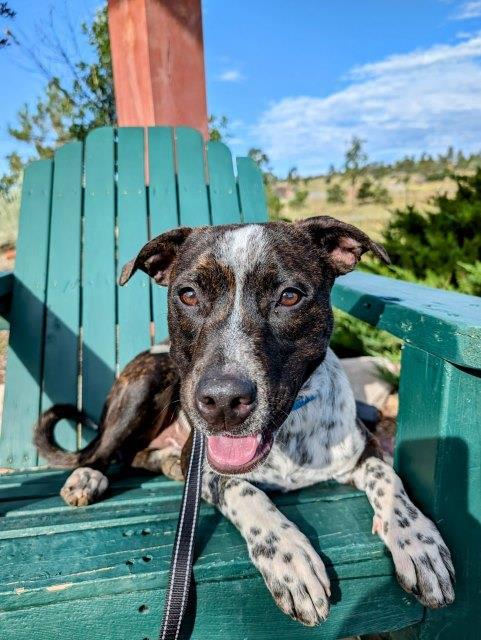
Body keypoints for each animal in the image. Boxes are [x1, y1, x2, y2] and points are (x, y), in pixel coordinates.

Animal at [33, 218, 454, 628]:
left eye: (289, 296)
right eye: (188, 295)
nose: (222, 401)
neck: (287, 434)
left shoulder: (364, 449)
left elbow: (389, 479)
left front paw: (419, 542)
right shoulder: (206, 467)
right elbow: (247, 492)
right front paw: (289, 558)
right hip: (146, 380)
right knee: (107, 450)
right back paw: (88, 476)